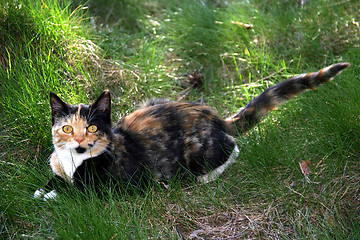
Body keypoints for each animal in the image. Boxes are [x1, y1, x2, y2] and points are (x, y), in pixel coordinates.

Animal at [33, 62, 348, 201]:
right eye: (67, 128)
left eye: (93, 127)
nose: (79, 140)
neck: (74, 162)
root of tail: (214, 115)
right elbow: (54, 179)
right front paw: (44, 188)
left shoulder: (117, 185)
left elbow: (80, 194)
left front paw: (54, 194)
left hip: (197, 150)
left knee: (233, 148)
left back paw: (200, 177)